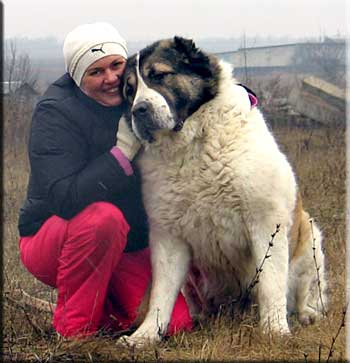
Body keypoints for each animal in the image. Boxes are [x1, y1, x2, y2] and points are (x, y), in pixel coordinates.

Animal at [119, 37, 326, 346]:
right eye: (129, 91)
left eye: (160, 75)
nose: (138, 110)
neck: (193, 144)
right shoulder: (168, 236)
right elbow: (161, 294)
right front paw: (144, 337)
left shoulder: (266, 224)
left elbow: (271, 284)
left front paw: (275, 331)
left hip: (310, 236)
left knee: (303, 292)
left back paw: (306, 315)